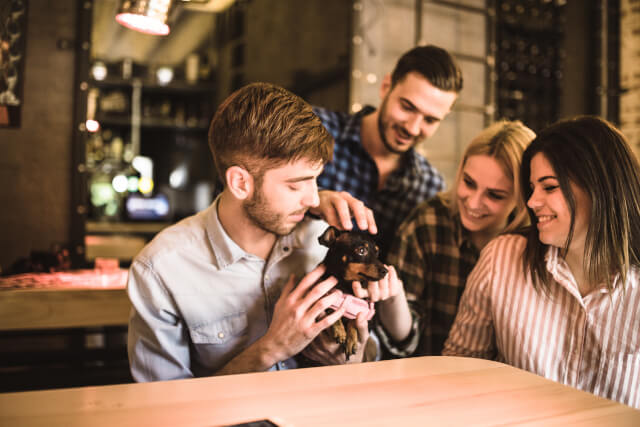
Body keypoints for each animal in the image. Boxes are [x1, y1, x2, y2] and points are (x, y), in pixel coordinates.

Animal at [318, 226, 388, 360]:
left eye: (377, 252)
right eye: (361, 250)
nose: (385, 271)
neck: (347, 286)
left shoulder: (366, 317)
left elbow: (354, 320)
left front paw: (351, 340)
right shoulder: (326, 296)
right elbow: (332, 307)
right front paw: (340, 331)